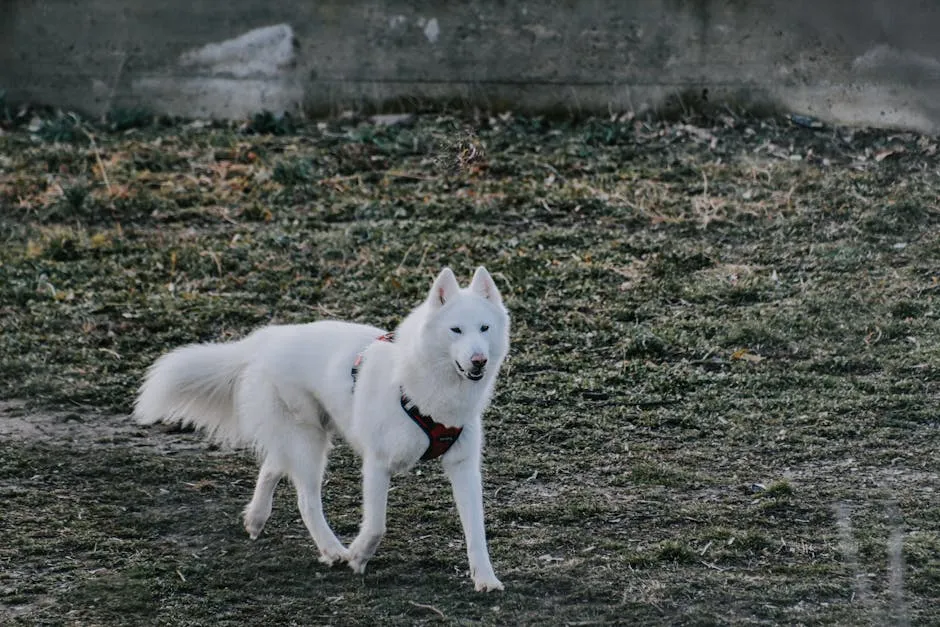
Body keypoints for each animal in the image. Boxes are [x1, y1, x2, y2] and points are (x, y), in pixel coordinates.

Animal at [134, 268, 506, 592]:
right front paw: (358, 556)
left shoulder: (463, 467)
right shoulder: (377, 464)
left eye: (484, 328)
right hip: (308, 443)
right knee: (305, 499)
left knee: (272, 465)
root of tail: (265, 340)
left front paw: (485, 578)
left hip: (302, 436)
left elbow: (477, 531)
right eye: (456, 330)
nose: (479, 361)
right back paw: (332, 550)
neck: (426, 392)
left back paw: (256, 518)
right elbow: (376, 525)